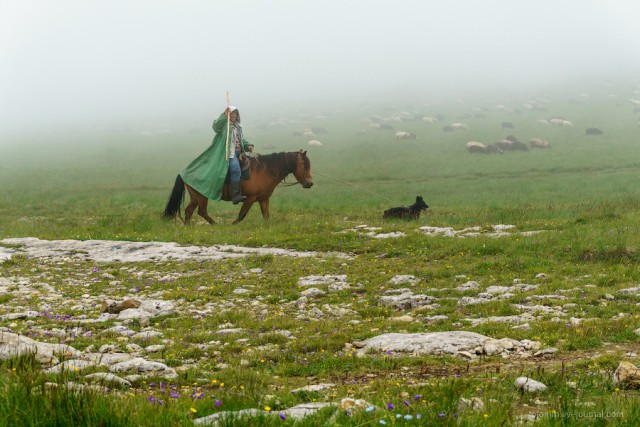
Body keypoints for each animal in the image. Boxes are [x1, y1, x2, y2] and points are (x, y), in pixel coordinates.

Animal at [162, 150, 312, 224]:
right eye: (304, 165)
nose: (310, 183)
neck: (264, 170)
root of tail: (184, 171)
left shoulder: (264, 199)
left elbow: (266, 216)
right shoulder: (250, 198)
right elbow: (241, 215)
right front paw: (232, 225)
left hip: (195, 197)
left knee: (189, 211)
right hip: (202, 196)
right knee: (201, 212)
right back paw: (216, 225)